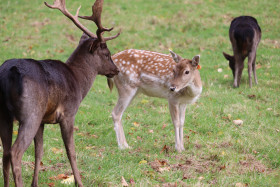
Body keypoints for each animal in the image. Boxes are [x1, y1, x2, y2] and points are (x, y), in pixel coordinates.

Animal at [0, 0, 119, 186]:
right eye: (107, 54)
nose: (116, 70)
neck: (78, 82)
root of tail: (8, 74)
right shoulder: (68, 113)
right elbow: (71, 151)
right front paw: (79, 182)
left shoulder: (43, 120)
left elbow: (39, 152)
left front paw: (35, 183)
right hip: (30, 113)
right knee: (15, 152)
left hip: (5, 113)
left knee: (5, 152)